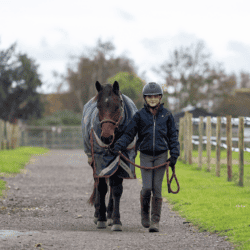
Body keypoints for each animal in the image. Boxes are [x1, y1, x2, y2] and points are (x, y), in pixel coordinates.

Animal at [81, 81, 137, 231]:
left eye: (117, 107)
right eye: (98, 106)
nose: (106, 137)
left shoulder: (122, 160)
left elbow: (116, 189)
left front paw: (116, 220)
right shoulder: (100, 161)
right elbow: (101, 187)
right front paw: (101, 218)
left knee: (111, 186)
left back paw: (110, 215)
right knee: (97, 183)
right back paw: (98, 214)